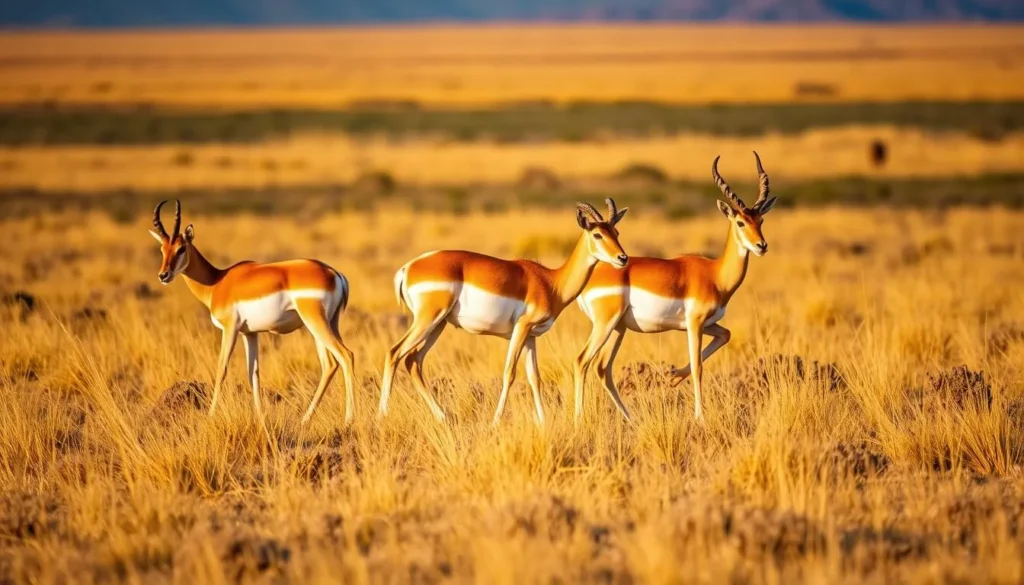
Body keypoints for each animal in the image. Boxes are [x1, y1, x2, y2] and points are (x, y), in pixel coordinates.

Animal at [149, 200, 355, 424]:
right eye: (162, 249)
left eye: (181, 248)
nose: (163, 275)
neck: (217, 283)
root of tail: (334, 273)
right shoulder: (250, 333)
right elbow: (253, 373)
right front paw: (259, 417)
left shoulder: (230, 329)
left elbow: (222, 368)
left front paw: (210, 416)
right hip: (327, 323)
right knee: (329, 365)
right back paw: (305, 419)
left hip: (315, 322)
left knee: (346, 356)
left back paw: (348, 420)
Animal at [379, 200, 629, 425]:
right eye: (597, 235)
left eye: (616, 232)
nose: (623, 258)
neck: (550, 282)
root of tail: (408, 267)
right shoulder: (521, 329)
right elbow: (510, 373)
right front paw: (496, 421)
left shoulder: (531, 337)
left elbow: (534, 378)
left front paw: (543, 422)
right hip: (427, 320)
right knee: (394, 352)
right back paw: (382, 416)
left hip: (438, 324)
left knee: (412, 360)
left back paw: (442, 417)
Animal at [575, 153, 777, 423]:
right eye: (740, 222)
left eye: (760, 220)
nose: (761, 245)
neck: (714, 274)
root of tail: (592, 278)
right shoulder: (695, 323)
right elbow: (698, 366)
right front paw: (700, 417)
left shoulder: (706, 324)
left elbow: (725, 335)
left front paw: (673, 377)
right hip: (606, 324)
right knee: (582, 361)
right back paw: (579, 419)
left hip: (619, 328)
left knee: (602, 367)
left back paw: (631, 419)